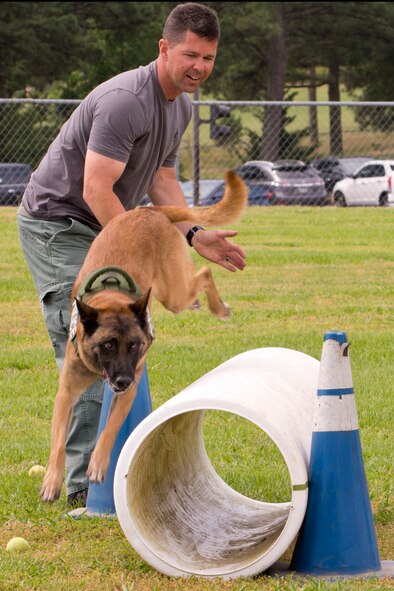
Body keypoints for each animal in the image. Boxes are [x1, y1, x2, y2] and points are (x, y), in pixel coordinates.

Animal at [40, 171, 246, 504]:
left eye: (134, 345)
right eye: (108, 345)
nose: (122, 381)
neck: (110, 297)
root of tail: (149, 211)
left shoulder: (130, 389)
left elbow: (111, 428)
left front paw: (99, 463)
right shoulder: (66, 393)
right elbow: (59, 440)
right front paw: (51, 481)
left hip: (170, 291)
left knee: (203, 273)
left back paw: (217, 306)